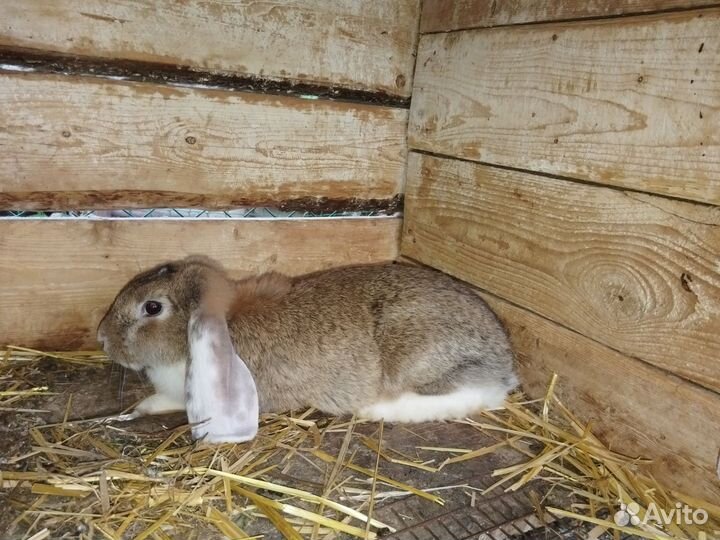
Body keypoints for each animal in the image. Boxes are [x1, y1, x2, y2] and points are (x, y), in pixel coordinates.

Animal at [96, 256, 518, 443]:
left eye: (152, 308)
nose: (101, 337)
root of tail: (505, 361)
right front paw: (136, 409)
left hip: (417, 359)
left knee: (469, 396)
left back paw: (376, 409)